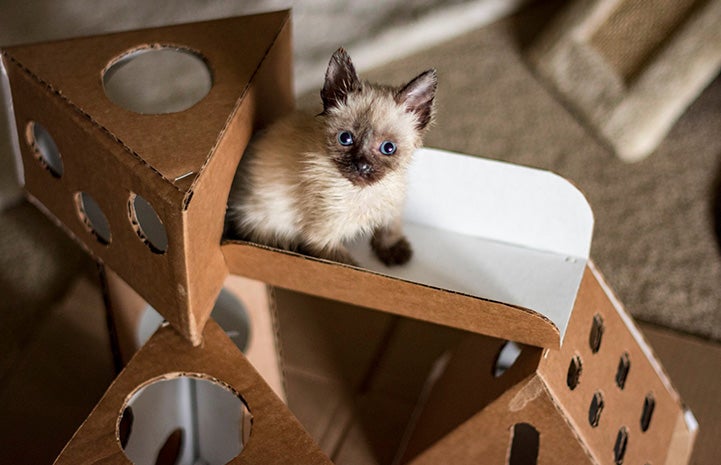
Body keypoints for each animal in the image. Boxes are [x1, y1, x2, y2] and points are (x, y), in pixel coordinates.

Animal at [228, 48, 436, 264]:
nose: (361, 166)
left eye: (388, 148)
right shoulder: (322, 240)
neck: (362, 193)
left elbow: (390, 226)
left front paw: (395, 251)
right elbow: (347, 265)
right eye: (345, 138)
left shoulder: (392, 203)